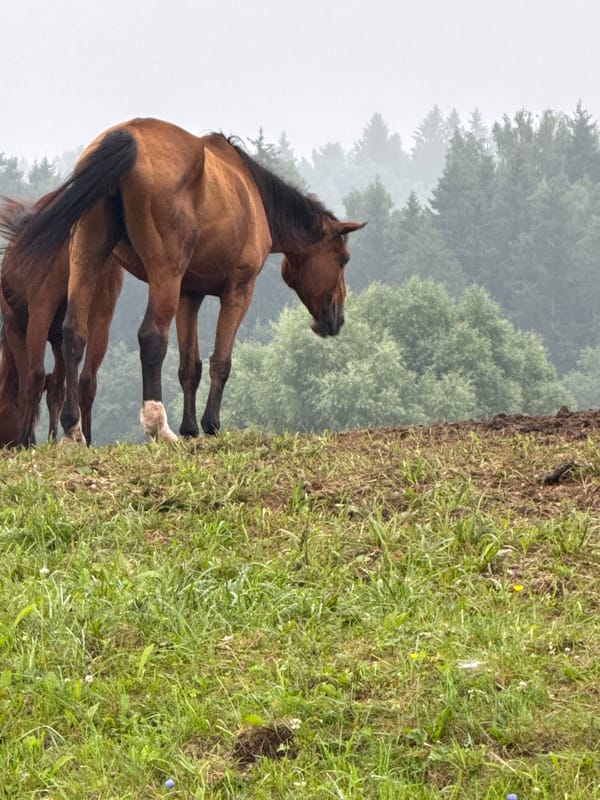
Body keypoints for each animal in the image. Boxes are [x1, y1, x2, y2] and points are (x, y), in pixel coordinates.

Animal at [0, 196, 124, 446]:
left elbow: (30, 384)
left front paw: (31, 440)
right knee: (87, 379)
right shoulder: (58, 339)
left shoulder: (14, 326)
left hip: (41, 307)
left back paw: (27, 440)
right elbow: (56, 389)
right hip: (101, 313)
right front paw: (52, 436)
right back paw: (86, 436)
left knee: (35, 375)